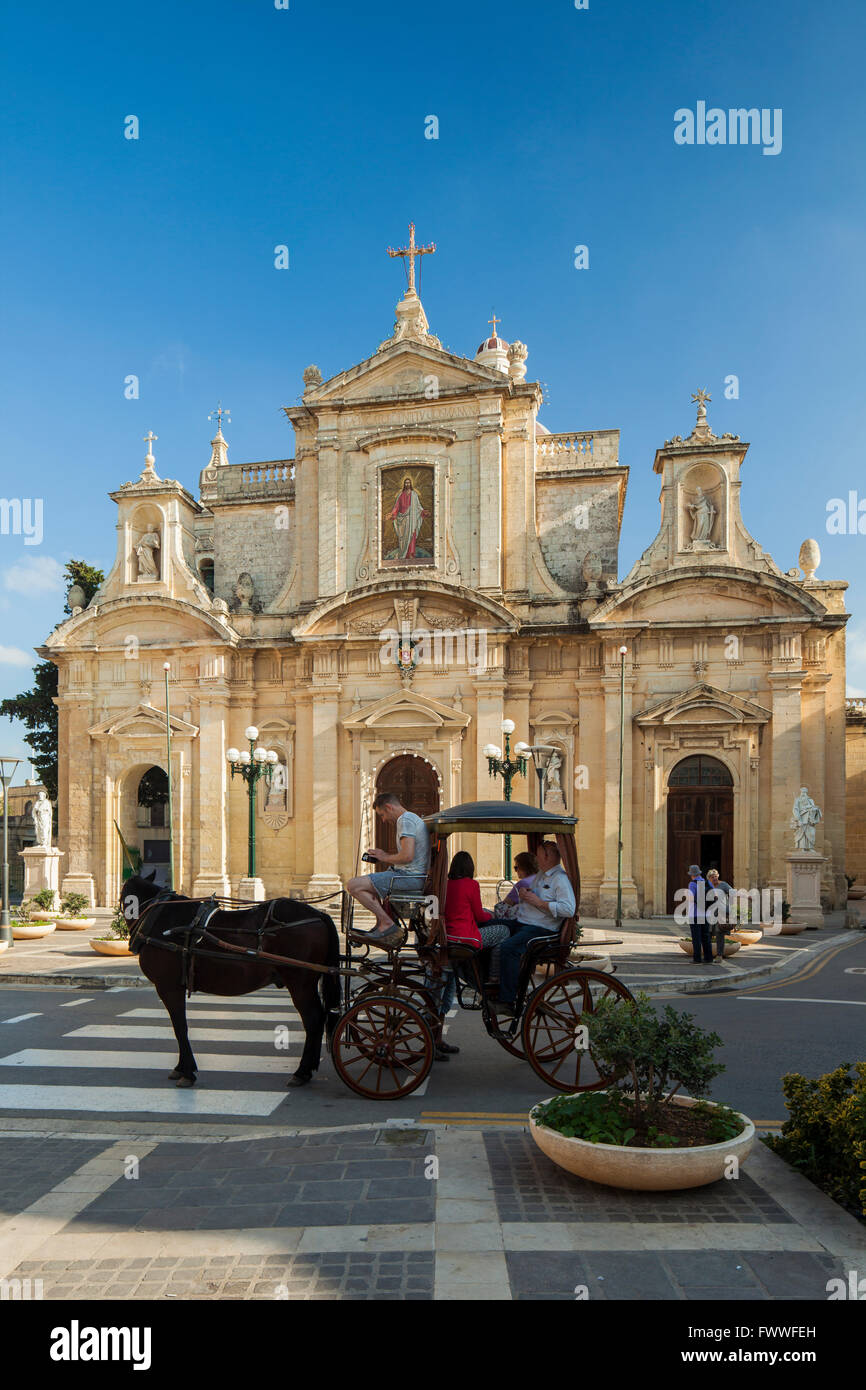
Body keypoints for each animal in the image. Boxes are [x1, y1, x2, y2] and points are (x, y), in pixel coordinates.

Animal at [119, 872, 341, 1089]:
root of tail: (319, 915)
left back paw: (301, 1071)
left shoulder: (169, 987)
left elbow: (180, 1027)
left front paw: (187, 1071)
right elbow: (179, 1027)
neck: (157, 915)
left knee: (313, 1019)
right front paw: (181, 1068)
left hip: (300, 984)